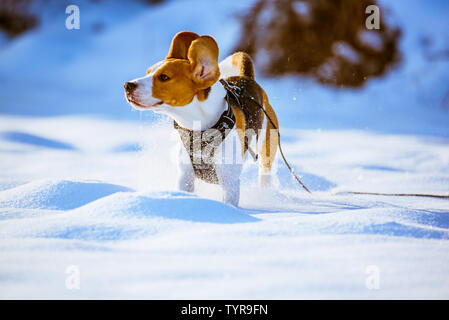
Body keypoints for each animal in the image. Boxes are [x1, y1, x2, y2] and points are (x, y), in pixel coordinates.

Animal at [122, 30, 276, 205]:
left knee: (265, 172)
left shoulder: (229, 181)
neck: (197, 128)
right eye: (148, 72)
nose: (127, 85)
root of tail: (247, 78)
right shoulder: (185, 175)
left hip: (267, 148)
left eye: (164, 77)